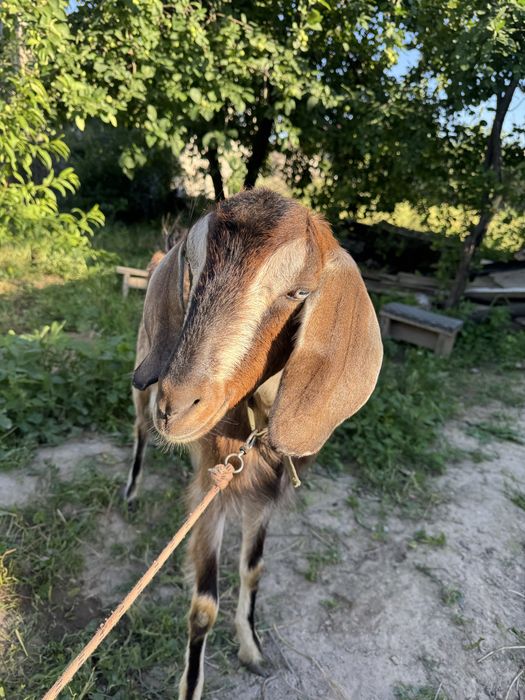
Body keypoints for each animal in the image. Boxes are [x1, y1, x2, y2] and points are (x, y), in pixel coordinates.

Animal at [126, 188, 383, 700]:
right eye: (192, 269)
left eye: (298, 293)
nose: (177, 406)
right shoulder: (211, 489)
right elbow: (204, 605)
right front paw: (191, 686)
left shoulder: (265, 493)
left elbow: (253, 569)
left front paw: (252, 649)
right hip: (142, 377)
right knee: (140, 430)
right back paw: (132, 491)